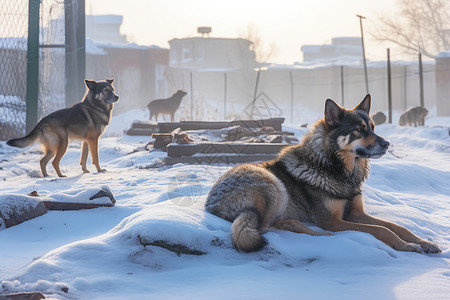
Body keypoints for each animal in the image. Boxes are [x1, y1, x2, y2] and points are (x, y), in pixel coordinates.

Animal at [206, 95, 442, 254]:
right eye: (358, 129)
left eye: (373, 127)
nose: (387, 144)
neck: (340, 170)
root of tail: (211, 205)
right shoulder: (333, 220)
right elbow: (381, 230)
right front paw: (407, 246)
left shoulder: (355, 213)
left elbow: (396, 226)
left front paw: (424, 242)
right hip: (273, 184)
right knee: (267, 227)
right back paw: (323, 236)